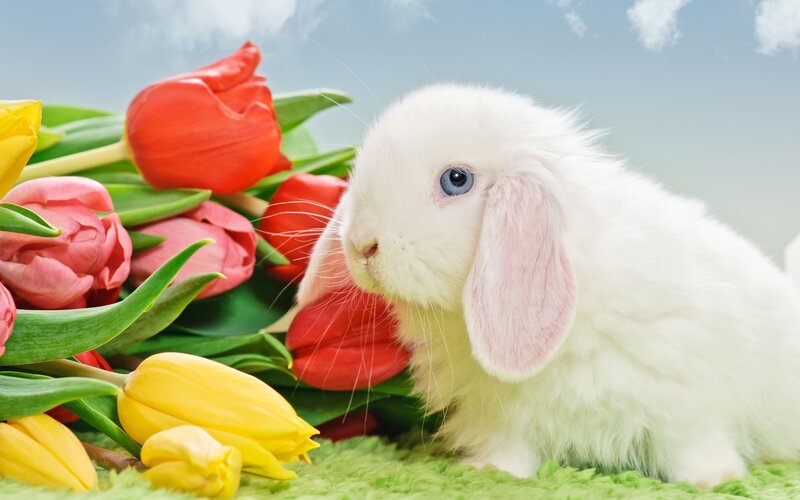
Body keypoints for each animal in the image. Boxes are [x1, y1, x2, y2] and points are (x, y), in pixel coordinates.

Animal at [296, 84, 800, 488]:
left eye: (456, 180)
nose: (361, 245)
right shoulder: (501, 413)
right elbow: (510, 447)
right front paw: (490, 471)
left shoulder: (688, 402)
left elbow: (693, 446)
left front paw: (713, 480)